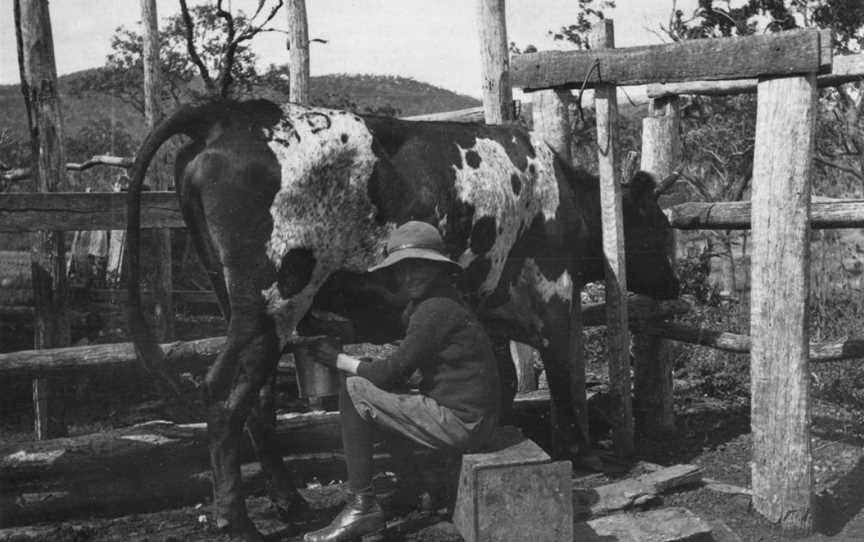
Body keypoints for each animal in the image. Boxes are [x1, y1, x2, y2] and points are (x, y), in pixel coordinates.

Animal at [125, 100, 680, 540]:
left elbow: (499, 379)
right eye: (658, 225)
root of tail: (231, 113)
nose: (676, 285)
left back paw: (290, 503)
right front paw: (586, 455)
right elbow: (564, 376)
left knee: (257, 401)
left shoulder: (489, 308)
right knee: (223, 397)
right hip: (271, 301)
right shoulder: (554, 292)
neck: (565, 198)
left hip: (249, 308)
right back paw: (237, 523)